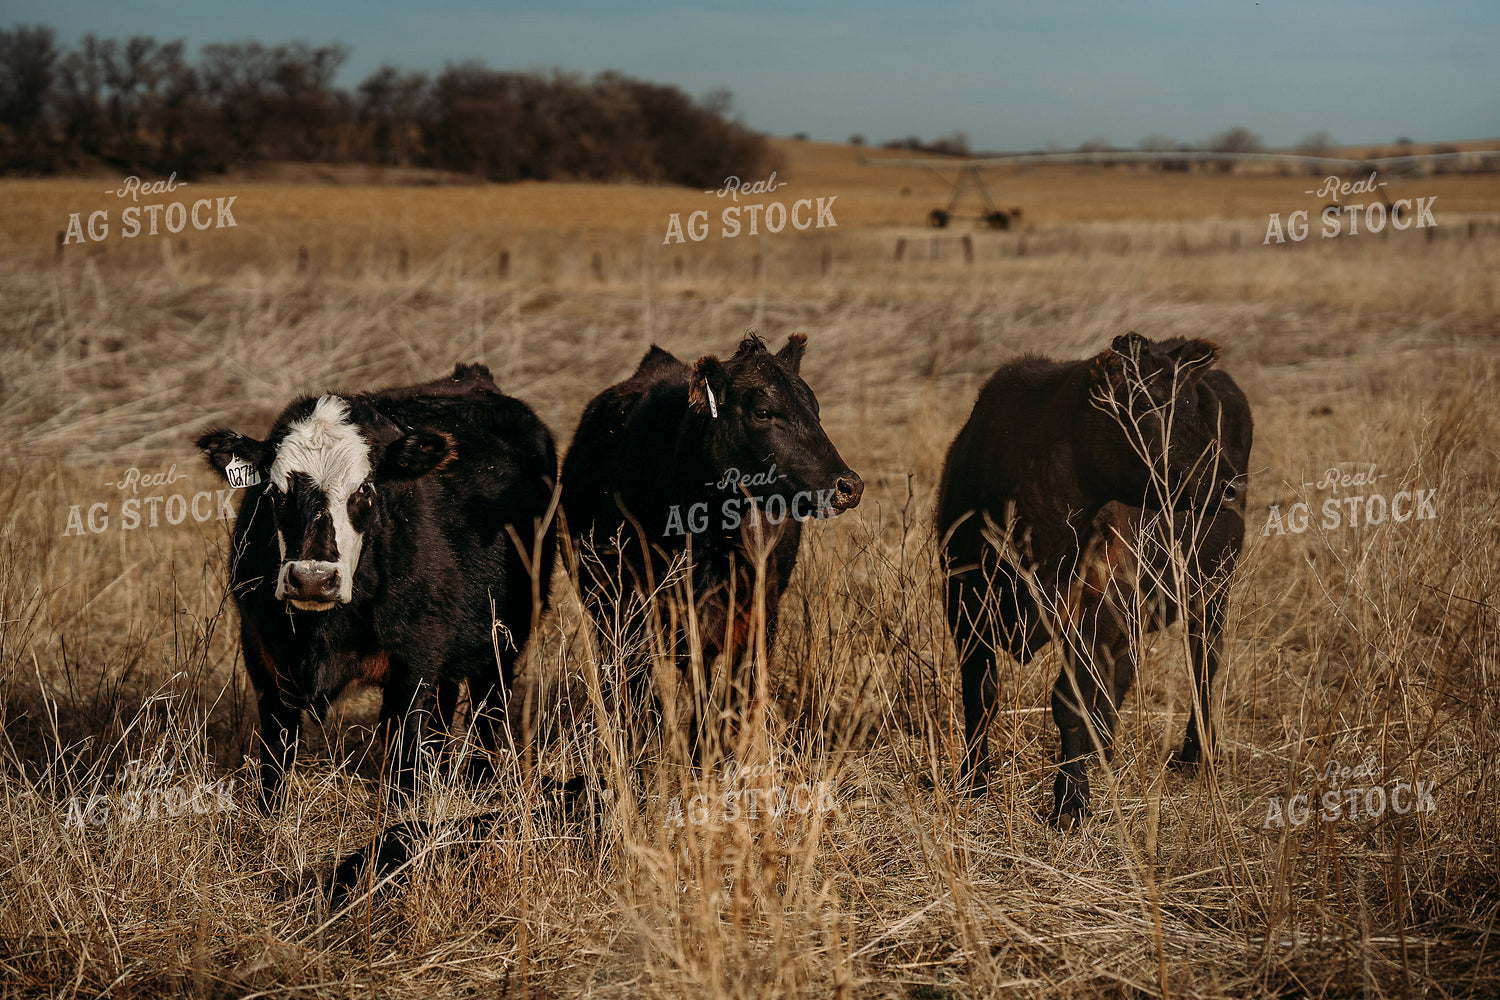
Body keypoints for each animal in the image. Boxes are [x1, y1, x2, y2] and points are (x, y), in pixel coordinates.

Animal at [197, 363, 558, 810]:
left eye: (364, 489)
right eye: (275, 492)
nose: (313, 579)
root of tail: (473, 378)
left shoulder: (415, 662)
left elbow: (403, 755)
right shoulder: (263, 654)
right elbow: (276, 753)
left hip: (503, 641)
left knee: (488, 711)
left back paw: (483, 781)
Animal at [560, 333, 863, 763]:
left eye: (816, 409)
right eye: (763, 411)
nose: (849, 486)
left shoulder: (757, 619)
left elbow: (731, 706)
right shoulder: (632, 615)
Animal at [936, 332, 1252, 828]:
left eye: (1191, 405)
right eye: (1145, 404)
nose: (1230, 486)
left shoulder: (1096, 609)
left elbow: (1071, 702)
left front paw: (1070, 802)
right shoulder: (964, 598)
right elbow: (980, 694)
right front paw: (973, 783)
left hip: (1211, 591)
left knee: (1204, 667)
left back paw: (1196, 754)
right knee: (1123, 675)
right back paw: (1106, 748)